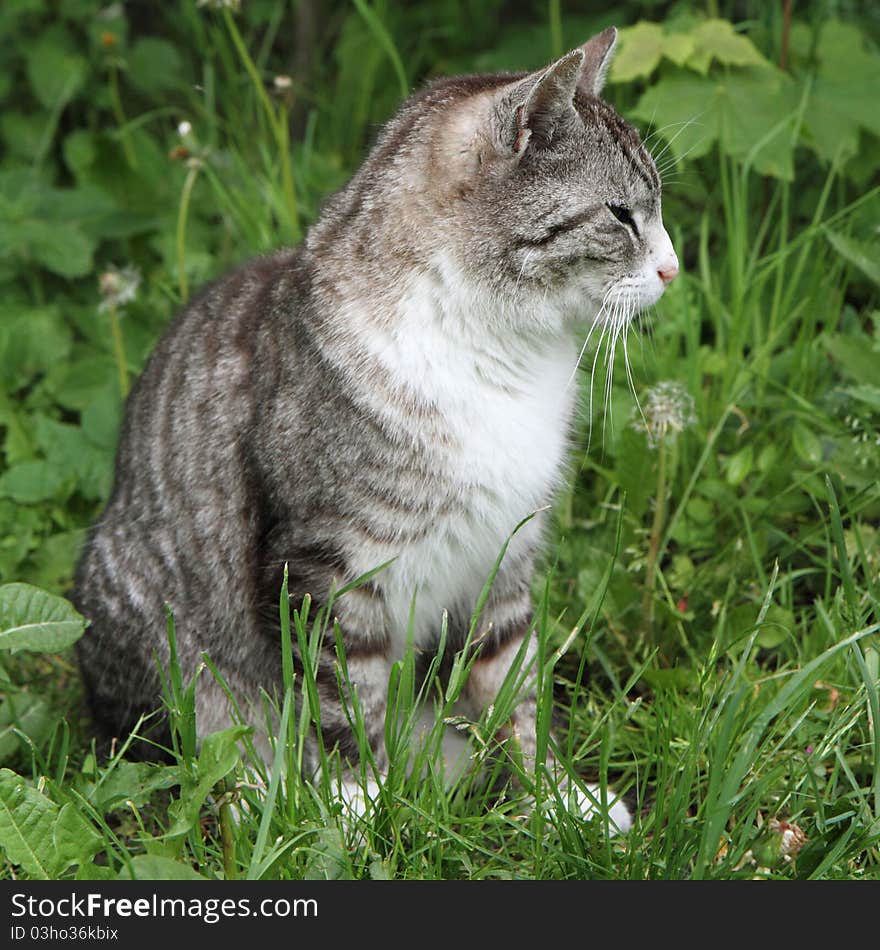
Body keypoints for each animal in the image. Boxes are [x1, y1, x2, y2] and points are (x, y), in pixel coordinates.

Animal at [77, 27, 680, 832]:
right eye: (619, 214)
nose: (675, 268)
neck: (505, 356)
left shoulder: (505, 555)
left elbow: (513, 687)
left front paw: (556, 799)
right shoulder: (328, 567)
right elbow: (343, 695)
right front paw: (361, 806)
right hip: (160, 643)